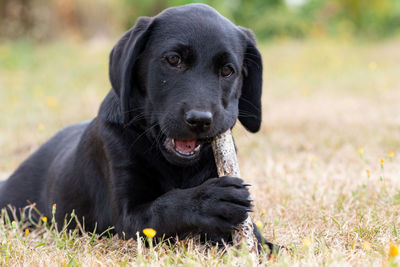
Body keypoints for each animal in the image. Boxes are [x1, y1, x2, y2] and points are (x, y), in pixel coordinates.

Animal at [0, 3, 272, 251]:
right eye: (173, 59)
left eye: (227, 70)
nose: (200, 120)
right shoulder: (127, 218)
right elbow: (164, 206)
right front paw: (210, 201)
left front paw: (265, 246)